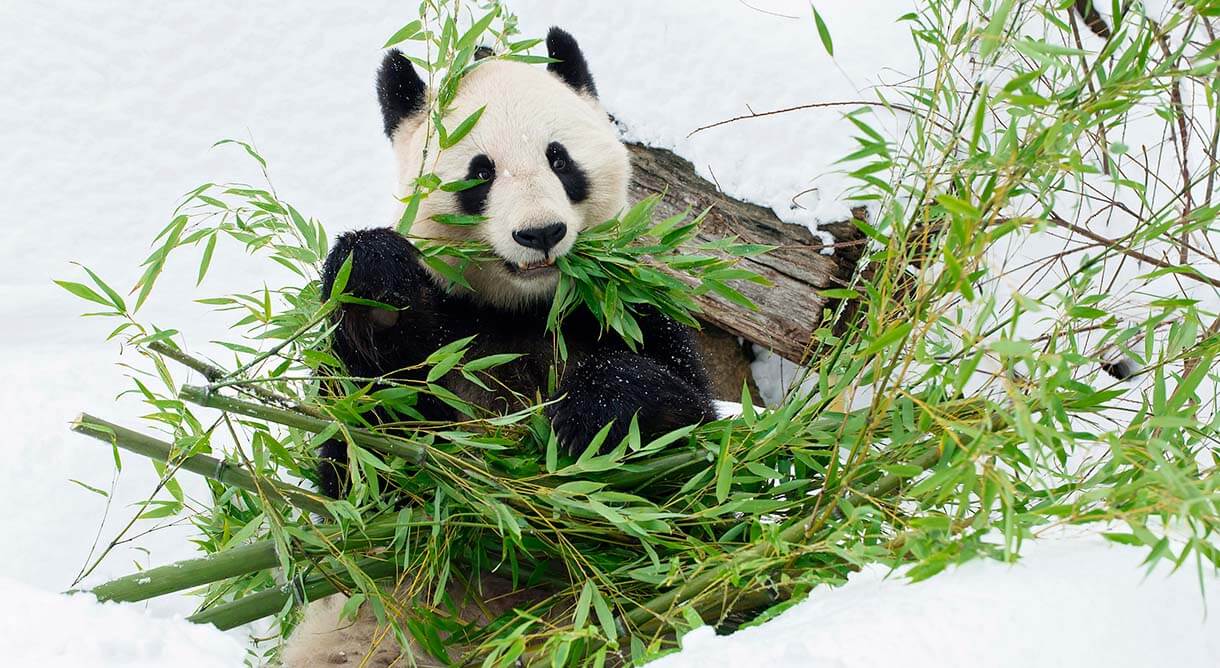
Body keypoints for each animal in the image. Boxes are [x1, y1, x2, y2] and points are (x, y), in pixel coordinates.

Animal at [281, 28, 716, 666]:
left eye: (559, 159)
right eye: (479, 173)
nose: (540, 233)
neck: (522, 306)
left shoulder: (625, 309)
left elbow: (687, 445)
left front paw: (591, 419)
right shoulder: (445, 340)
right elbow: (366, 470)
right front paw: (377, 280)